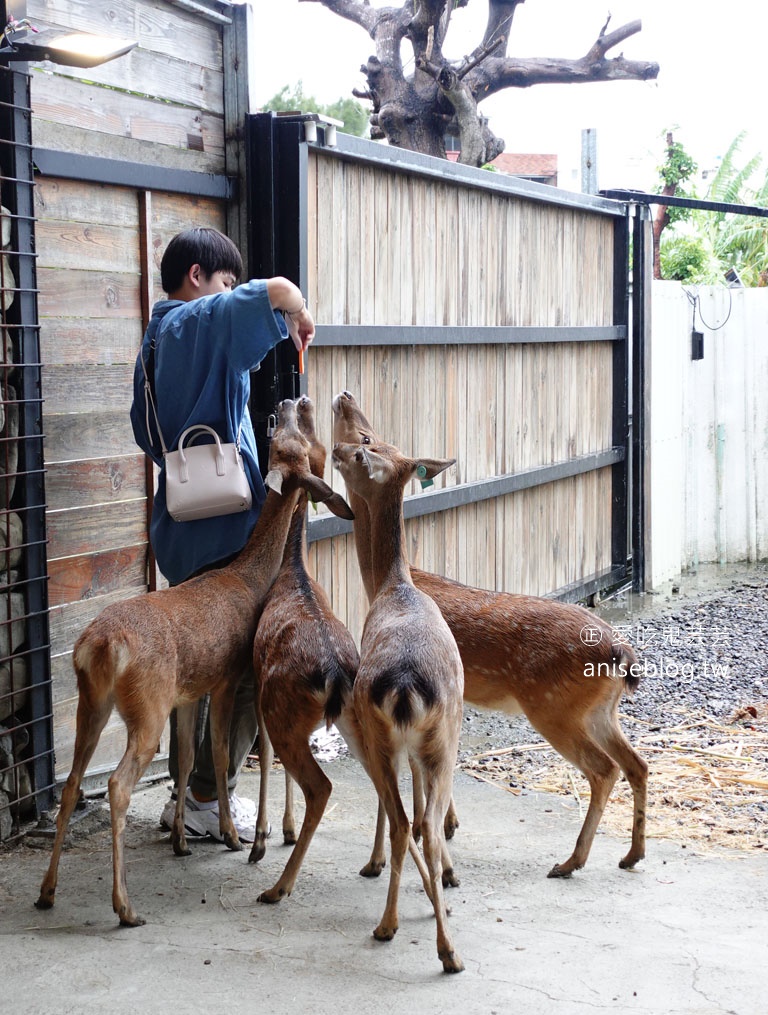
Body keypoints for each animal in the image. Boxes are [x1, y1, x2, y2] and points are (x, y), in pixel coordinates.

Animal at [32, 397, 351, 929]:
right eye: (284, 441)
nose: (289, 401)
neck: (247, 578)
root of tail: (101, 644)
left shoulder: (187, 691)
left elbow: (182, 760)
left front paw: (182, 839)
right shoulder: (226, 677)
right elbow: (218, 753)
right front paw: (233, 836)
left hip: (91, 702)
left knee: (74, 782)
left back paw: (48, 891)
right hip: (146, 704)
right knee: (116, 785)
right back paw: (125, 906)